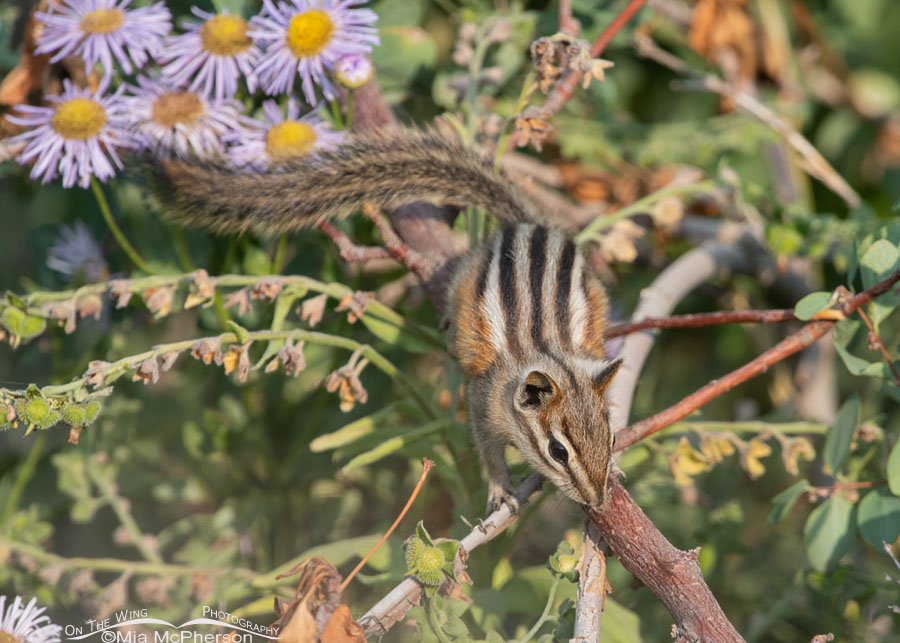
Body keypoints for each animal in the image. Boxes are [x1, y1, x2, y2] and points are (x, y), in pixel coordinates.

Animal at [153, 129, 623, 512]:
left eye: (613, 436)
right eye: (558, 452)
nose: (597, 501)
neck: (549, 353)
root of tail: (532, 225)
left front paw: (614, 469)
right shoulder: (483, 401)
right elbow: (487, 450)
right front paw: (500, 488)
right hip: (467, 274)